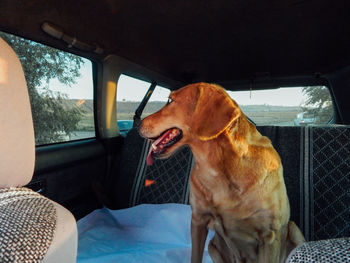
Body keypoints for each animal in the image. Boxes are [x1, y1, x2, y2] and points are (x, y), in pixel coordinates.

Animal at [138, 83, 304, 263]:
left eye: (169, 101)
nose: (137, 123)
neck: (217, 168)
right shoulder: (198, 220)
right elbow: (195, 256)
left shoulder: (270, 235)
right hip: (213, 246)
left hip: (294, 230)